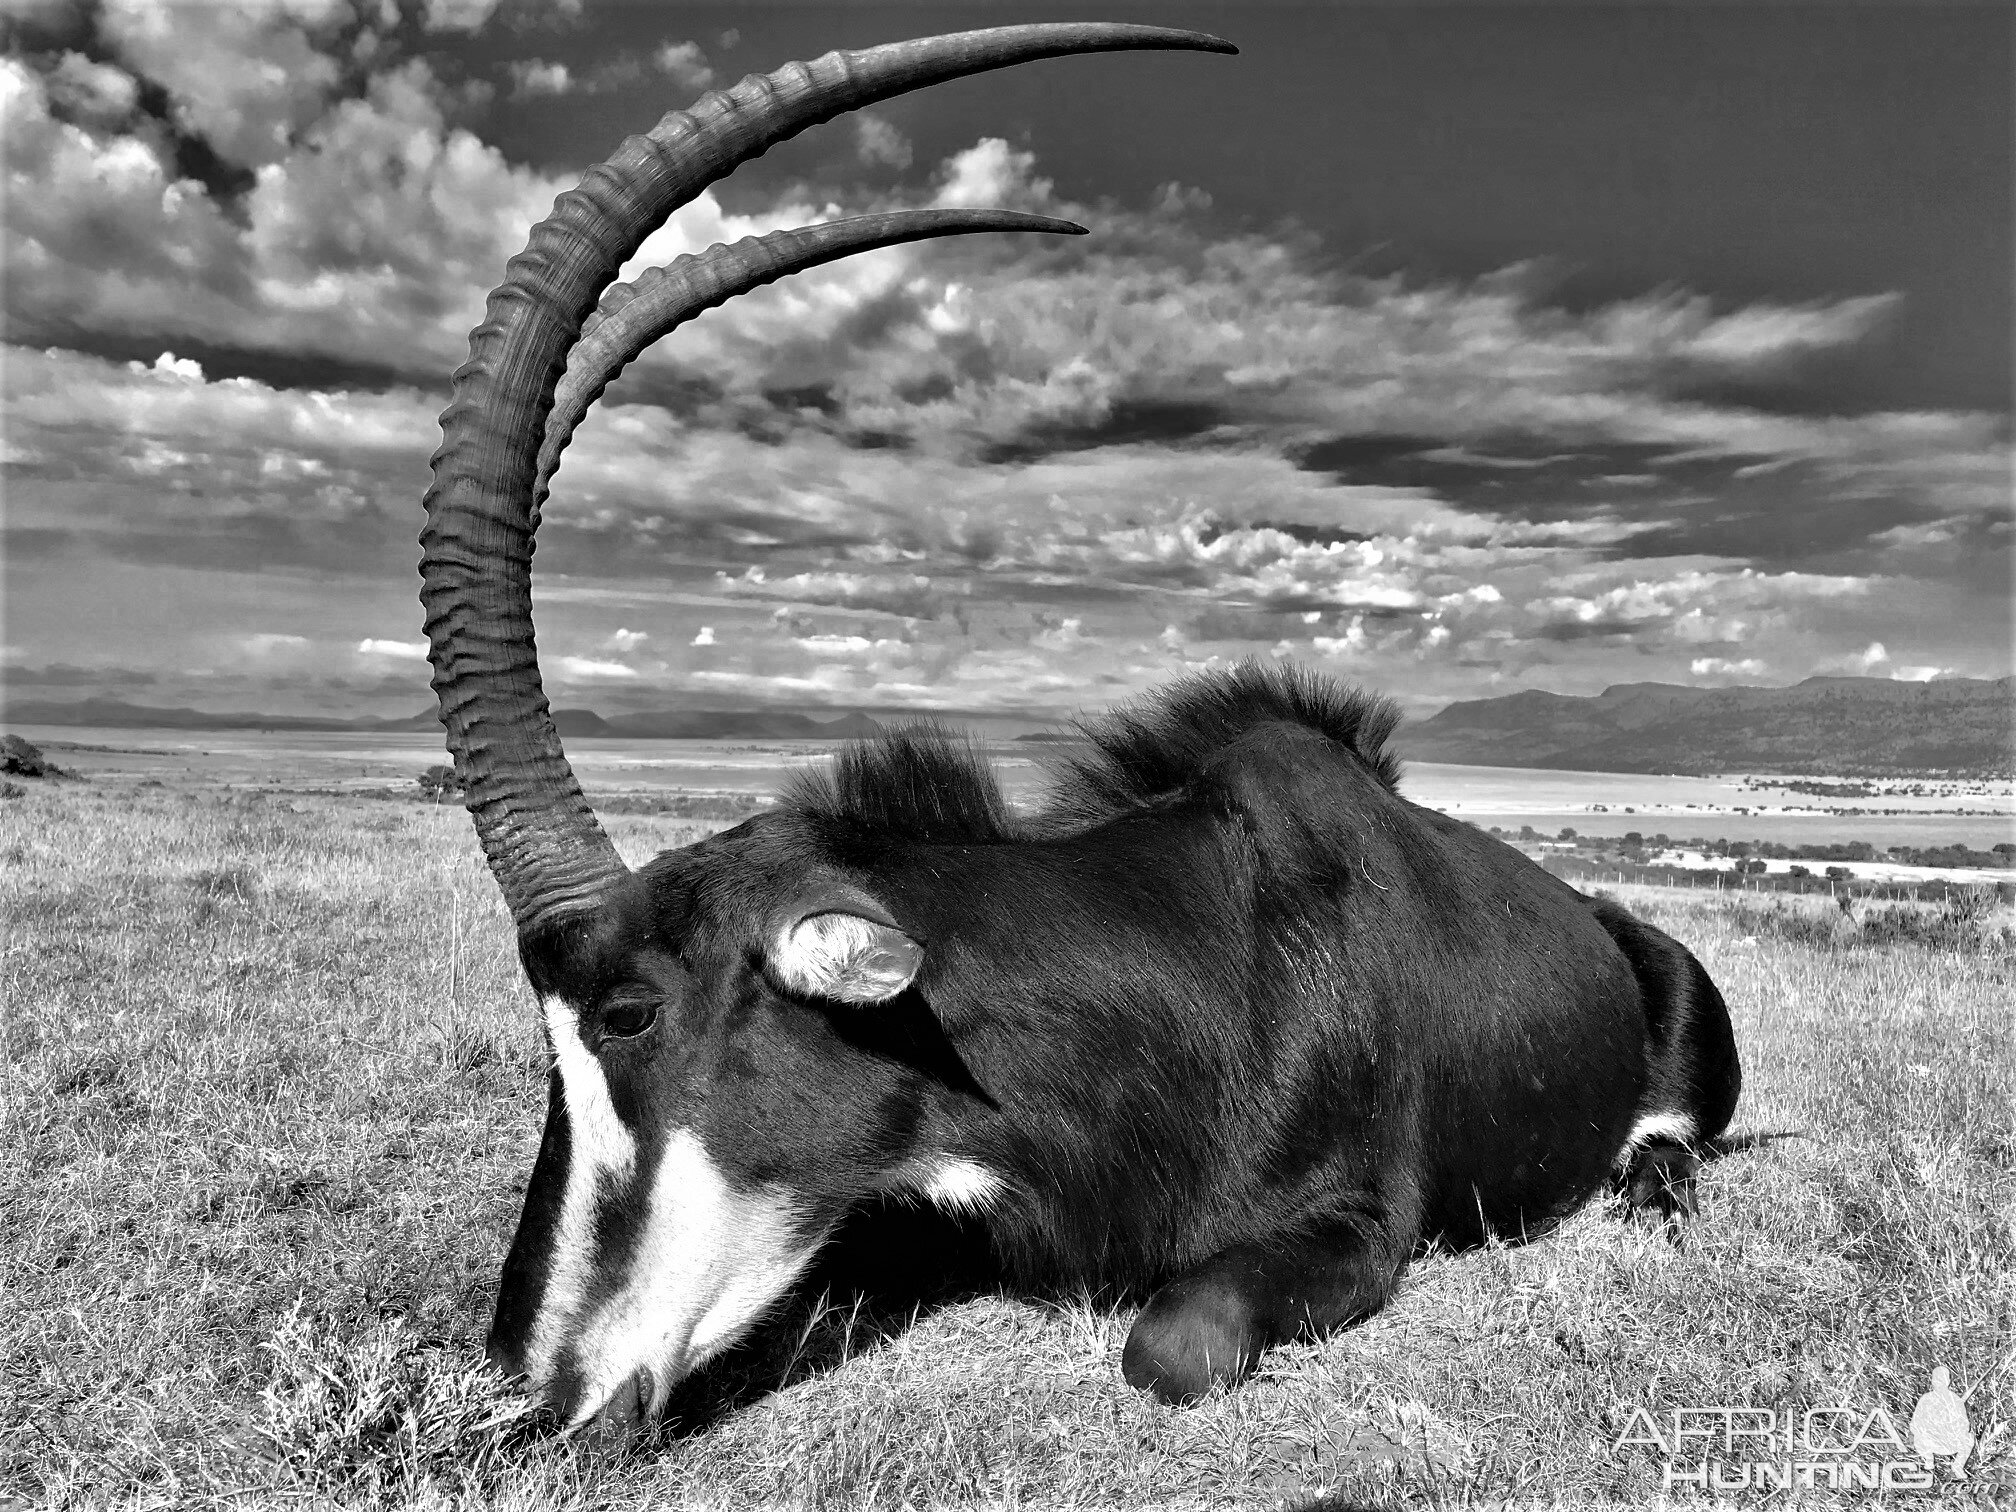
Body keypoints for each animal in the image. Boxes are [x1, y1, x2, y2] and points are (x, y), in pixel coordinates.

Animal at [417, 26, 1741, 1443]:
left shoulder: (1363, 1223)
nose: (531, 1388)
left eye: (628, 1013)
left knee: (1672, 1141)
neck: (1191, 979)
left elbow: (1171, 1343)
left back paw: (1655, 1190)